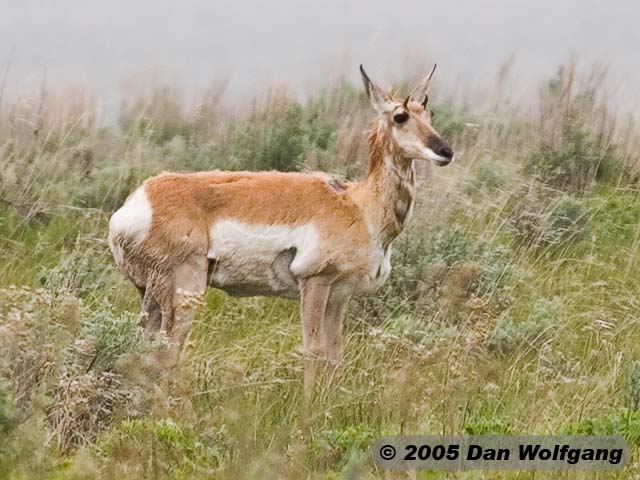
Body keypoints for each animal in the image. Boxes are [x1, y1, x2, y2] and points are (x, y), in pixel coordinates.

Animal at [107, 64, 452, 390]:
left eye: (429, 112)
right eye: (400, 116)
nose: (445, 151)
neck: (358, 204)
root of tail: (140, 200)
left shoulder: (339, 296)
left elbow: (334, 352)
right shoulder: (315, 283)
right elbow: (313, 348)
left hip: (151, 293)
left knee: (143, 345)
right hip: (185, 290)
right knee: (170, 349)